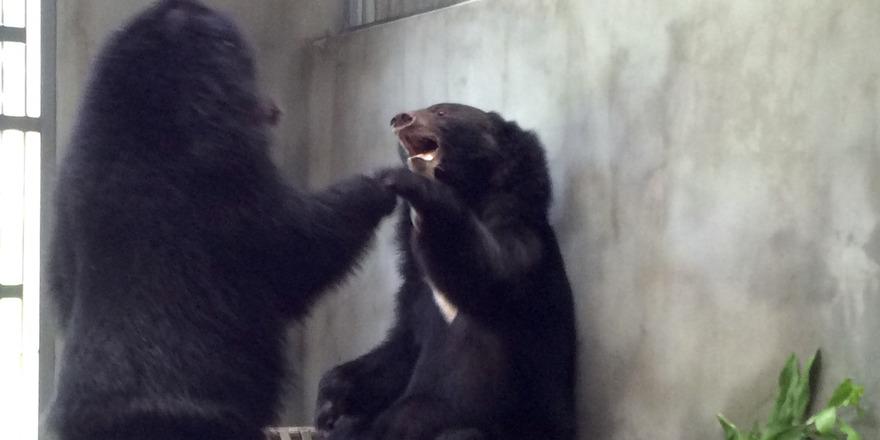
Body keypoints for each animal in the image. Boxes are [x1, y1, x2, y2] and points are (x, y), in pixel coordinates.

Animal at [44, 0, 396, 440]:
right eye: (245, 62)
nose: (273, 106)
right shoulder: (225, 165)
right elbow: (292, 250)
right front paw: (375, 185)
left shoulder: (67, 191)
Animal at [316, 104, 576, 440]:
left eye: (442, 112)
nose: (400, 119)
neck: (470, 194)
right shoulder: (415, 289)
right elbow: (401, 349)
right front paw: (330, 401)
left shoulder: (522, 241)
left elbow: (491, 271)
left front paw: (402, 181)